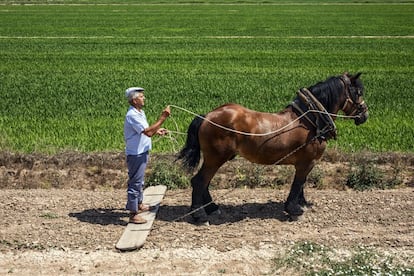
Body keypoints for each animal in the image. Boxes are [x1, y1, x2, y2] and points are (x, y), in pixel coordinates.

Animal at [178, 73, 368, 222]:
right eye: (358, 92)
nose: (365, 114)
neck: (311, 120)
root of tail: (207, 116)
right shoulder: (306, 162)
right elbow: (298, 183)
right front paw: (293, 209)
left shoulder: (306, 162)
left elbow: (302, 183)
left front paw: (302, 203)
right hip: (216, 158)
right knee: (199, 181)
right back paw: (200, 215)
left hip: (214, 158)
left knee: (205, 182)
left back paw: (212, 208)